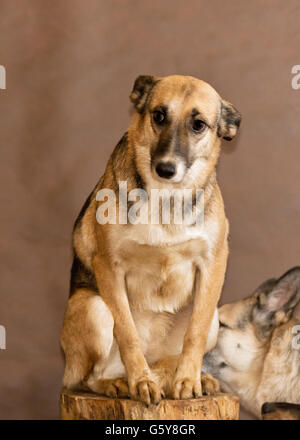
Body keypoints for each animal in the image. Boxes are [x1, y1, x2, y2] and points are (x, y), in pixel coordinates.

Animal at [61, 74, 241, 404]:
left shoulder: (213, 264)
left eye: (199, 125)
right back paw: (119, 383)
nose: (166, 169)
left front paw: (188, 380)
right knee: (88, 377)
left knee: (176, 354)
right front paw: (141, 382)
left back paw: (187, 377)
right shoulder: (109, 267)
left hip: (214, 319)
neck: (166, 198)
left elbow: (194, 335)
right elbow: (128, 334)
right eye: (158, 115)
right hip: (93, 308)